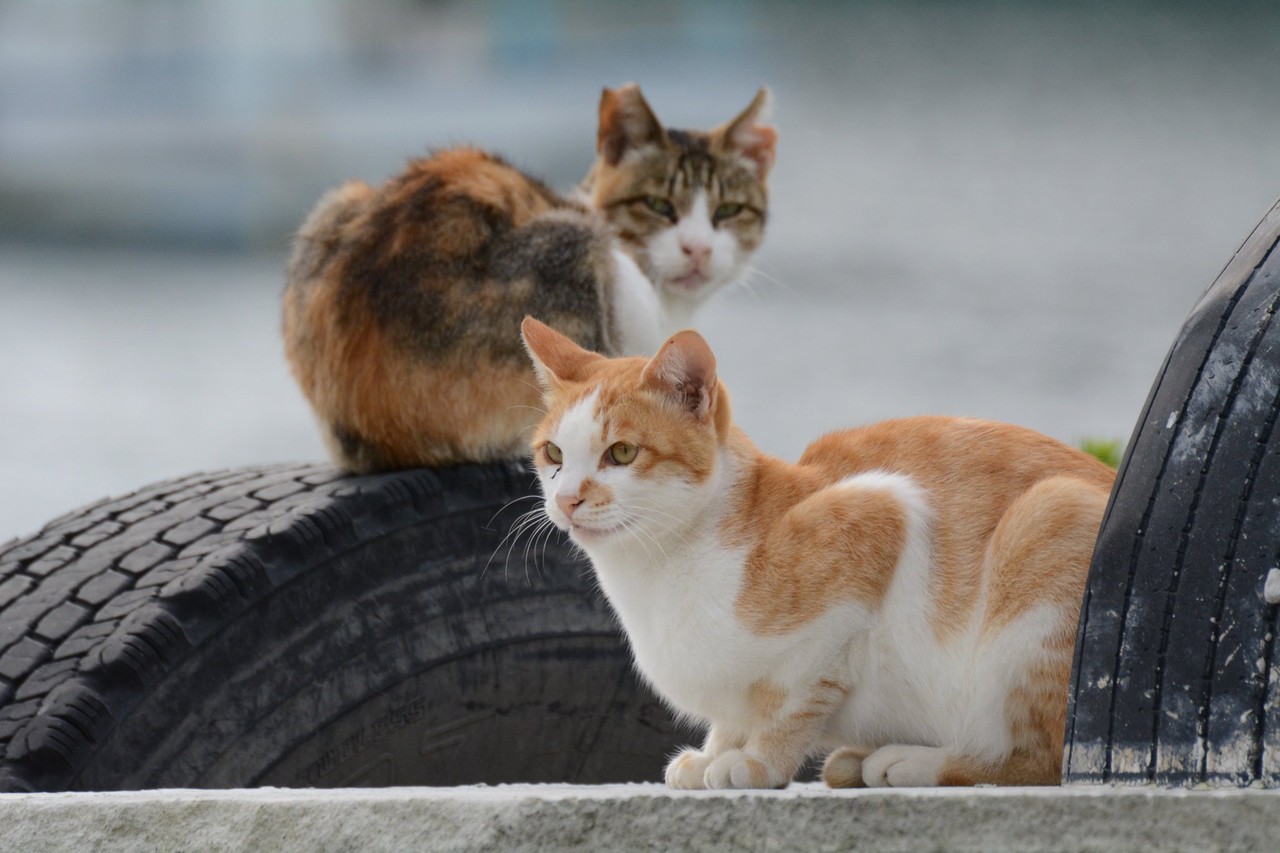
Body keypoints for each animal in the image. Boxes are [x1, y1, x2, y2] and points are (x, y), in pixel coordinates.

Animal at [519, 316, 1116, 788]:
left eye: (621, 453)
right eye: (553, 453)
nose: (567, 499)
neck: (656, 573)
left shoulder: (880, 512)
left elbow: (793, 697)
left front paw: (756, 762)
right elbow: (734, 714)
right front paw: (716, 751)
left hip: (1046, 522)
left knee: (1045, 760)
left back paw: (913, 763)